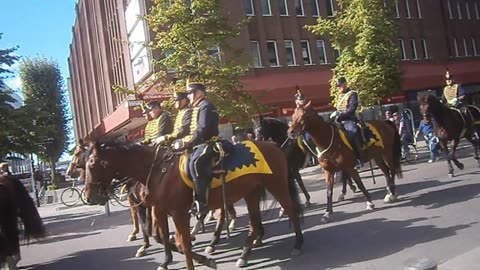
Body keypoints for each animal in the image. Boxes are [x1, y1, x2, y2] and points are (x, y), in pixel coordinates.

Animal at [84, 141, 302, 270]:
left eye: (92, 164)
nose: (88, 196)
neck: (159, 171)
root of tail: (274, 147)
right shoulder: (160, 210)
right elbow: (165, 238)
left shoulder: (179, 212)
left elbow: (184, 243)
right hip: (251, 192)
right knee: (254, 223)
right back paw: (244, 254)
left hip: (277, 185)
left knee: (291, 210)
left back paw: (297, 245)